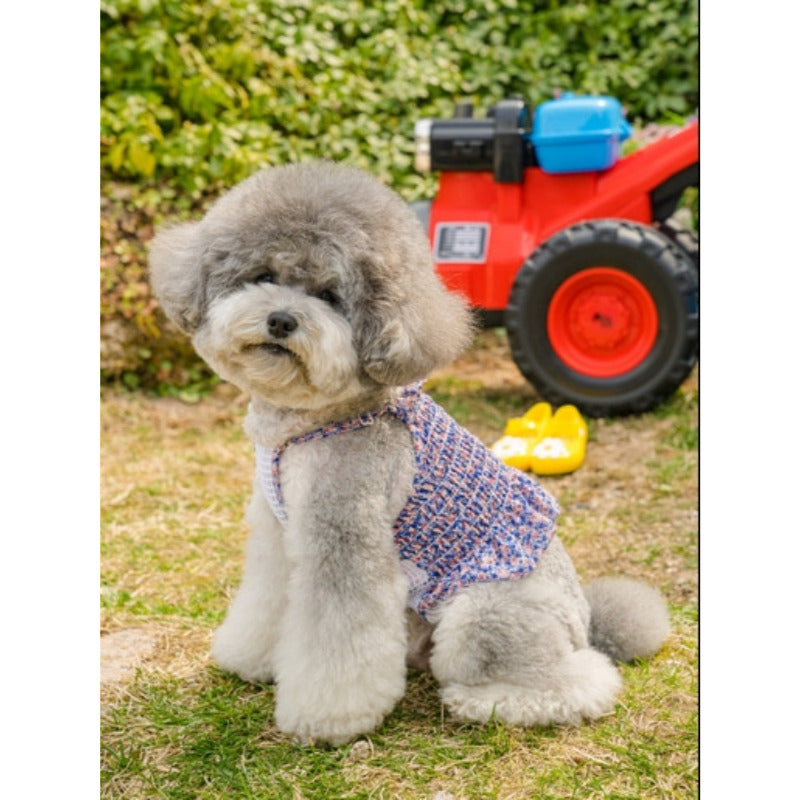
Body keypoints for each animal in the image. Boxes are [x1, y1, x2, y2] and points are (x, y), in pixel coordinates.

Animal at [148, 159, 668, 748]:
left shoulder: (345, 533)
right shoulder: (279, 532)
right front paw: (250, 658)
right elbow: (266, 599)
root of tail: (586, 623)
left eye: (331, 296)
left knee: (579, 682)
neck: (310, 420)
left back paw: (484, 700)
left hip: (484, 614)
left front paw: (329, 719)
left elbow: (338, 637)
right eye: (263, 276)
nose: (281, 320)